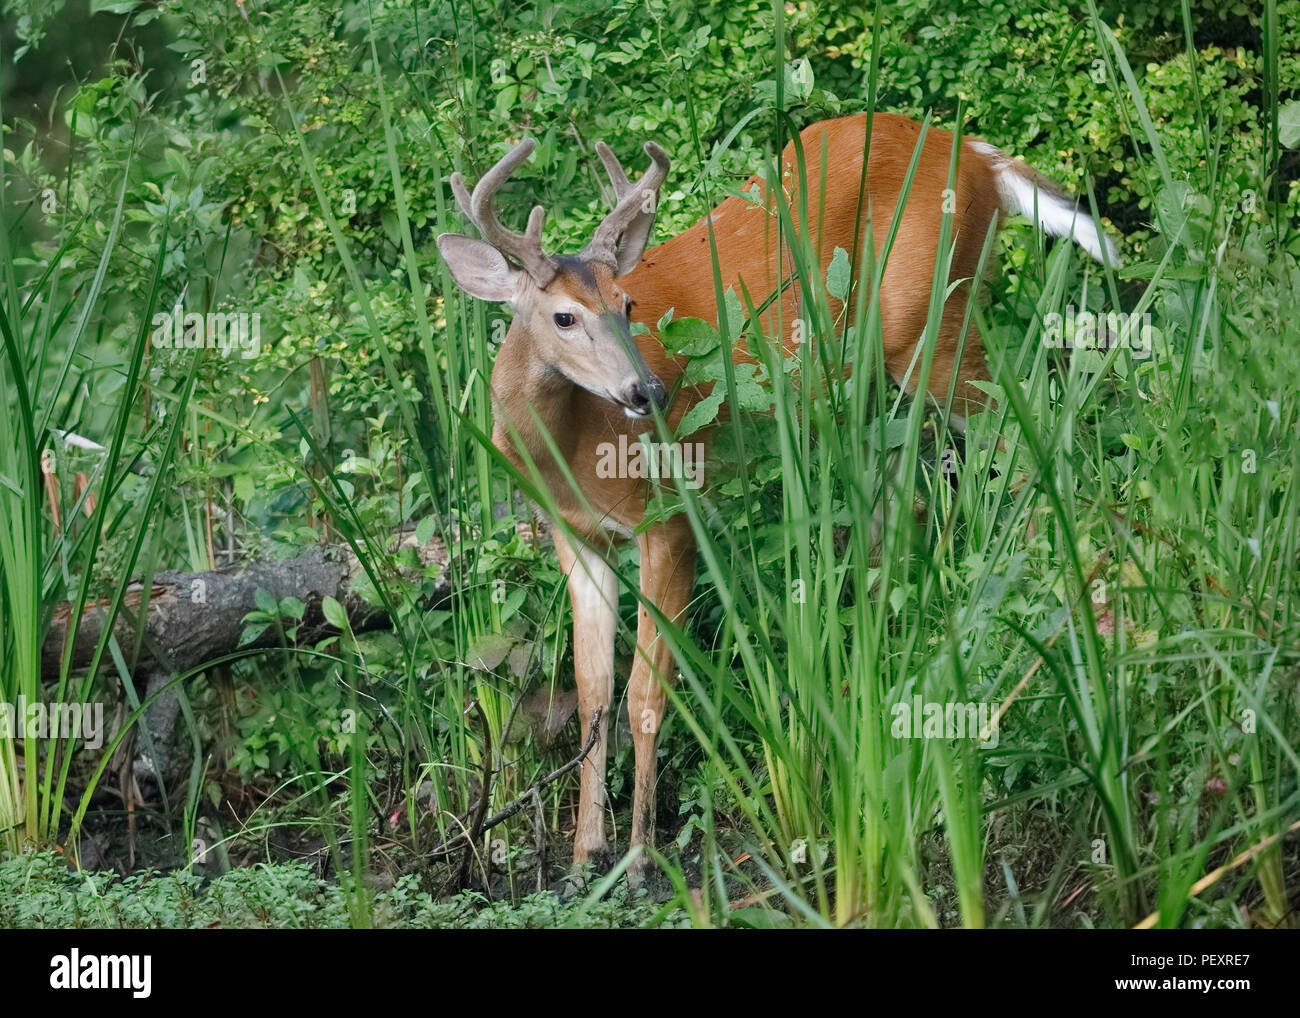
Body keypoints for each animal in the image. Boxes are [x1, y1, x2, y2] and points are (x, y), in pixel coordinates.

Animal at [436, 117, 1118, 868]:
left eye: (628, 303)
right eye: (563, 317)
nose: (648, 392)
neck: (572, 451)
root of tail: (979, 157)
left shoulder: (670, 515)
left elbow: (645, 691)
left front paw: (640, 857)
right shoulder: (576, 536)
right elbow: (592, 691)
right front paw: (587, 853)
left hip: (931, 326)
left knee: (1032, 433)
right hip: (863, 384)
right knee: (903, 500)